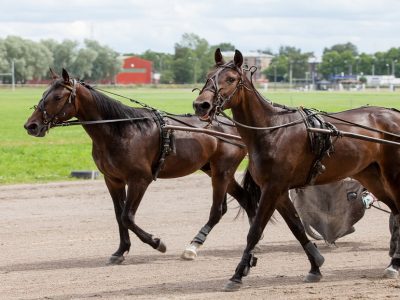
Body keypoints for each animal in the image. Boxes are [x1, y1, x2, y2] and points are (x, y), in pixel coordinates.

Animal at [22, 68, 324, 268]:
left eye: (57, 97)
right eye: (44, 93)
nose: (31, 125)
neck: (120, 129)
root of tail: (233, 126)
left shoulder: (140, 179)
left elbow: (128, 216)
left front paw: (157, 242)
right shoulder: (113, 180)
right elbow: (119, 216)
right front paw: (121, 251)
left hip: (222, 170)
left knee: (219, 210)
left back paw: (194, 246)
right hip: (213, 169)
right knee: (248, 200)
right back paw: (253, 244)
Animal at [193, 48, 400, 290]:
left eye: (231, 79)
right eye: (208, 75)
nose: (201, 105)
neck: (271, 130)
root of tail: (395, 114)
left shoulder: (272, 188)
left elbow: (255, 231)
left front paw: (237, 275)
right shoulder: (280, 191)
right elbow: (297, 228)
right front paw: (315, 266)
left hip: (393, 174)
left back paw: (395, 263)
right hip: (371, 175)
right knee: (396, 211)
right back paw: (393, 263)